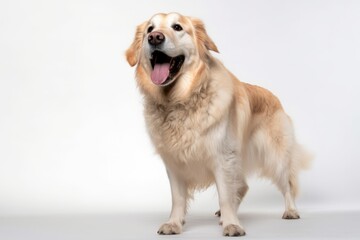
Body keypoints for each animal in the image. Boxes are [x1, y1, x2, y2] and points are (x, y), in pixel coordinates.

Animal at [125, 12, 310, 236]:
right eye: (150, 30)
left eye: (177, 27)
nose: (155, 38)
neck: (181, 100)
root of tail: (274, 96)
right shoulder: (174, 161)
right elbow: (178, 198)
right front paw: (174, 223)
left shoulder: (223, 156)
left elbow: (225, 195)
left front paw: (232, 225)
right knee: (243, 186)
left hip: (275, 155)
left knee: (287, 184)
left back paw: (290, 210)